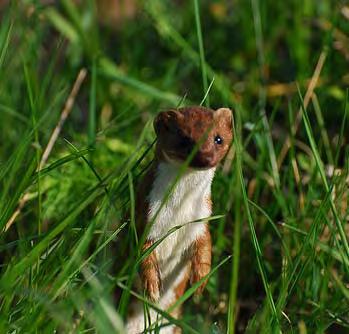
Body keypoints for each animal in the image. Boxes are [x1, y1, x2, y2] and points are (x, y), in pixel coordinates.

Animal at [126, 106, 232, 334]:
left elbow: (205, 248)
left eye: (218, 138)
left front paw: (200, 282)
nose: (206, 157)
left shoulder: (201, 221)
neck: (178, 212)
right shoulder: (146, 216)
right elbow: (142, 250)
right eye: (184, 139)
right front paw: (152, 287)